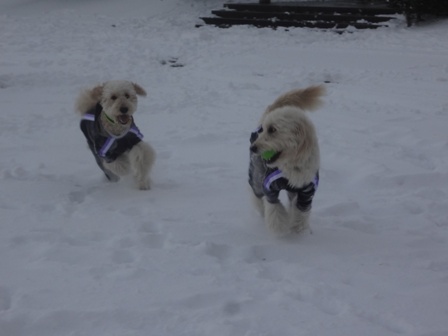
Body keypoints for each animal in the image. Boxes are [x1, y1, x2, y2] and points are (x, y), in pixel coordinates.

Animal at [248, 85, 326, 235]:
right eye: (264, 130)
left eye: (272, 129)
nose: (253, 147)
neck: (291, 165)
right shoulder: (269, 187)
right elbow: (275, 210)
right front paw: (281, 229)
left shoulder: (307, 192)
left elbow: (300, 212)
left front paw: (297, 228)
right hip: (257, 175)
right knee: (256, 194)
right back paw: (261, 209)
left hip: (292, 191)